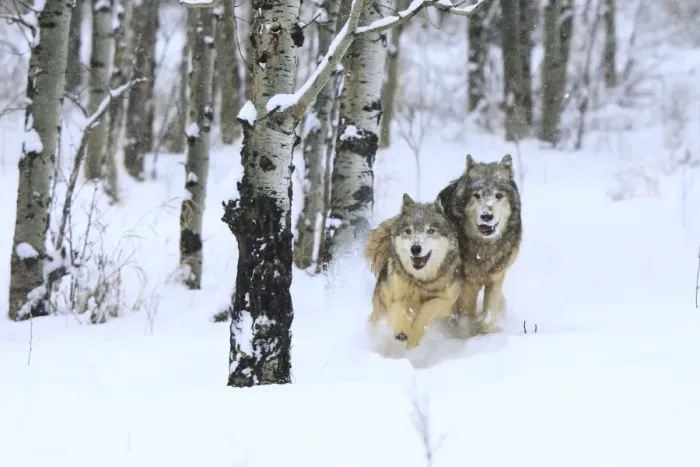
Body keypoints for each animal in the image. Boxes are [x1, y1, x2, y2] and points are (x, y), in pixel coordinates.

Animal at [365, 194, 463, 349]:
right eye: (408, 231)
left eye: (430, 231)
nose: (415, 248)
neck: (420, 281)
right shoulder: (395, 297)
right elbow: (399, 310)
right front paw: (402, 332)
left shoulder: (446, 302)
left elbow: (427, 308)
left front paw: (413, 337)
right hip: (380, 309)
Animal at [437, 154, 522, 334]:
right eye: (477, 195)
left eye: (498, 196)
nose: (486, 216)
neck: (484, 248)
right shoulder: (467, 284)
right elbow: (465, 319)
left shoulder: (497, 278)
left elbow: (489, 314)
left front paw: (485, 330)